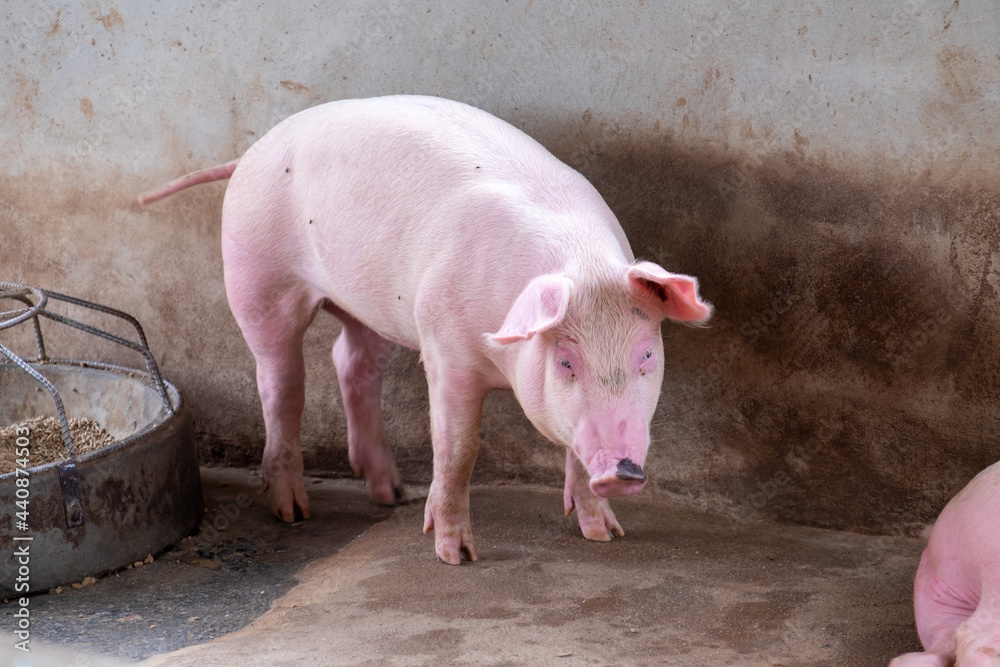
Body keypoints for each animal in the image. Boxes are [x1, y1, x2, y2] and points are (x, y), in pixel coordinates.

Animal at [139, 95, 712, 564]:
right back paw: (293, 512)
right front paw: (456, 555)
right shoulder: (444, 349)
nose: (624, 472)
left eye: (646, 355)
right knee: (280, 383)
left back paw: (388, 492)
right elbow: (457, 450)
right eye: (566, 361)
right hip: (257, 279)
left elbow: (571, 443)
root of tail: (249, 154)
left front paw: (605, 536)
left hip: (372, 305)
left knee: (352, 362)